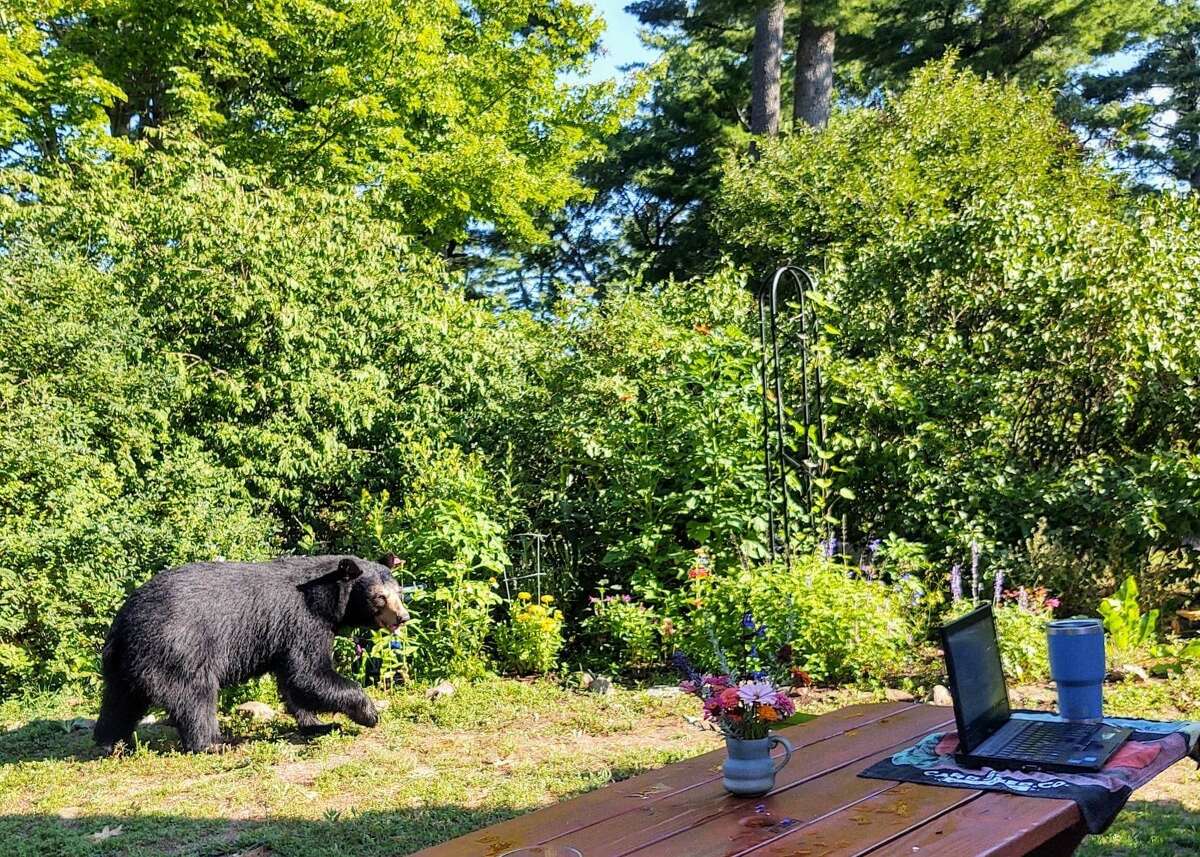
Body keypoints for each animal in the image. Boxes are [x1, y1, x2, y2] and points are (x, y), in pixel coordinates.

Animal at [92, 554, 408, 748]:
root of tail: (123, 623)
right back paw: (214, 744)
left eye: (400, 593)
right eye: (380, 597)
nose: (403, 618)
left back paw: (111, 742)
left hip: (125, 662)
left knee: (120, 700)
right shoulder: (302, 621)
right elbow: (309, 673)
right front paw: (369, 713)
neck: (323, 598)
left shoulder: (285, 635)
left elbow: (294, 682)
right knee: (195, 695)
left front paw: (318, 724)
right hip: (178, 648)